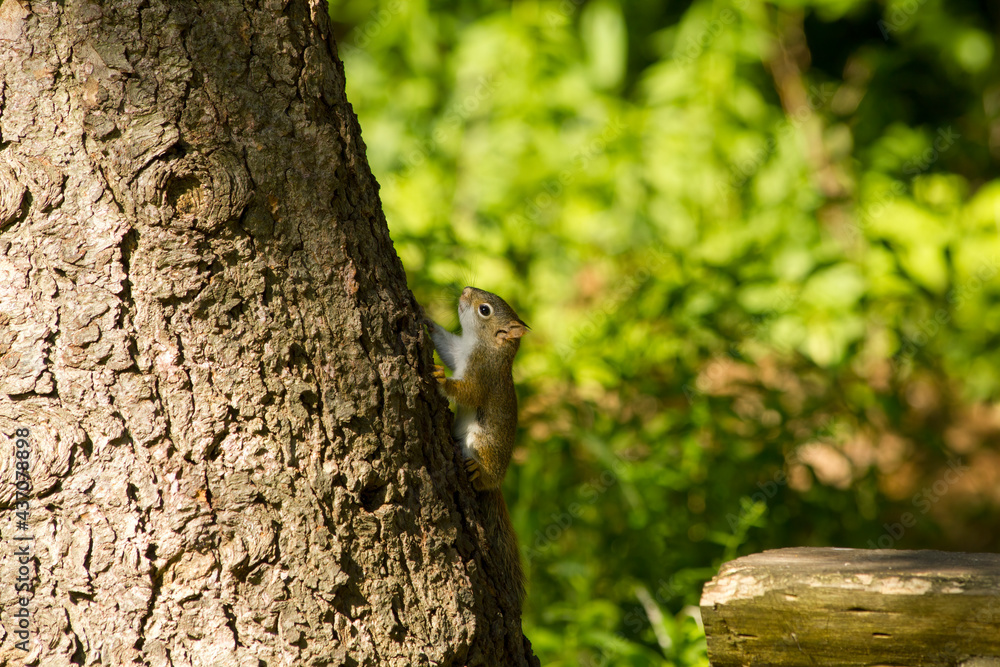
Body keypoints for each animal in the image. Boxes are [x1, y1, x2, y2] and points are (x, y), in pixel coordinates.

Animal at [424, 286, 529, 607]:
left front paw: (440, 380)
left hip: (482, 443)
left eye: (485, 310)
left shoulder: (482, 374)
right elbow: (444, 344)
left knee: (483, 474)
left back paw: (477, 471)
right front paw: (423, 316)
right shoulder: (458, 351)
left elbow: (468, 393)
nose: (466, 290)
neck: (482, 345)